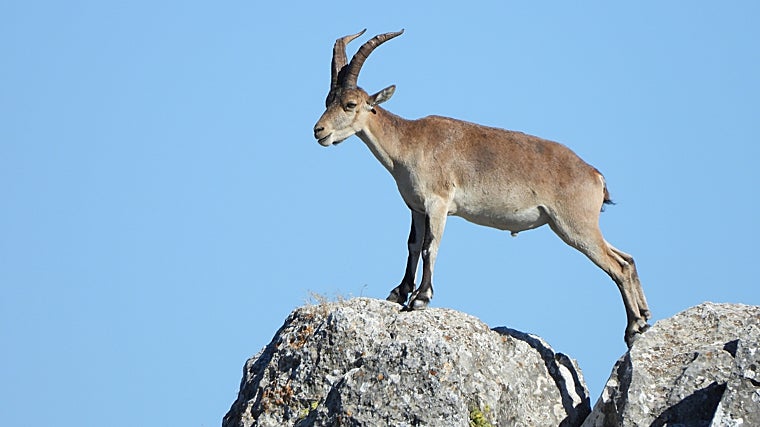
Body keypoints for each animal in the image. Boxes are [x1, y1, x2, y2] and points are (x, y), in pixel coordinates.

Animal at [313, 30, 651, 347]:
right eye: (327, 101)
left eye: (350, 104)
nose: (319, 130)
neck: (408, 143)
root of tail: (594, 175)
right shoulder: (416, 207)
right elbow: (412, 245)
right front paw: (399, 293)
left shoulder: (438, 203)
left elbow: (430, 246)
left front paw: (420, 299)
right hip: (579, 226)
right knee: (627, 258)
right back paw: (644, 317)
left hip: (574, 225)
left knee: (617, 266)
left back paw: (633, 328)